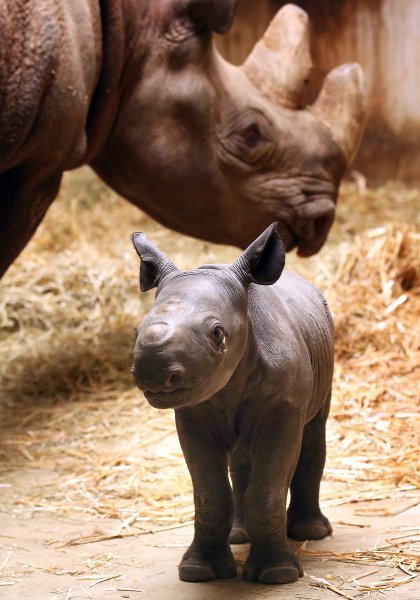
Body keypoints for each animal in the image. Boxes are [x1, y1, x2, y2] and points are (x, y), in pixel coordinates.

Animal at [131, 223, 334, 584]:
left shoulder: (282, 410)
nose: (153, 373)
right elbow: (210, 493)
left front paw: (278, 574)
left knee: (314, 430)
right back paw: (240, 536)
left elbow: (267, 489)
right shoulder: (193, 413)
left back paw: (312, 533)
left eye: (217, 333)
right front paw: (198, 571)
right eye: (136, 331)